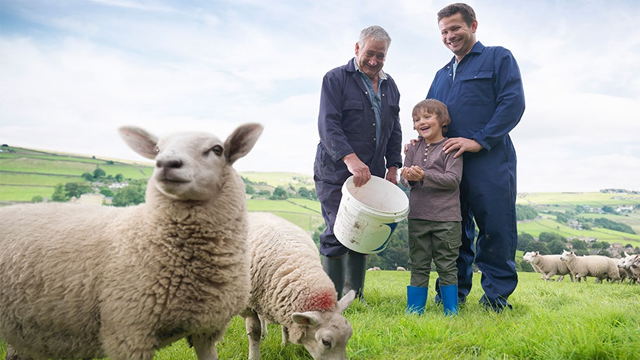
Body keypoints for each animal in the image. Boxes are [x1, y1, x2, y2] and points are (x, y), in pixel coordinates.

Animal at [242, 212, 358, 358]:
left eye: (349, 336)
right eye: (325, 342)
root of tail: (259, 213)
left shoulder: (280, 300)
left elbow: (285, 327)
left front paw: (285, 346)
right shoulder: (249, 304)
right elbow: (254, 332)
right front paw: (254, 356)